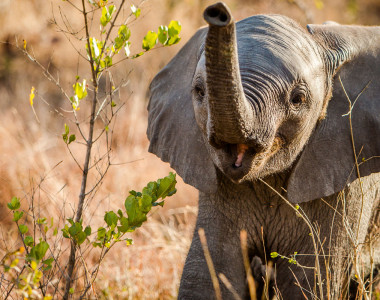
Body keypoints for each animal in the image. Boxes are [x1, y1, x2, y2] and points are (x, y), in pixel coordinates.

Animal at [146, 2, 380, 300]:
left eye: (297, 99)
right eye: (199, 91)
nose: (218, 12)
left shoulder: (349, 178)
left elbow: (313, 281)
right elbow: (208, 275)